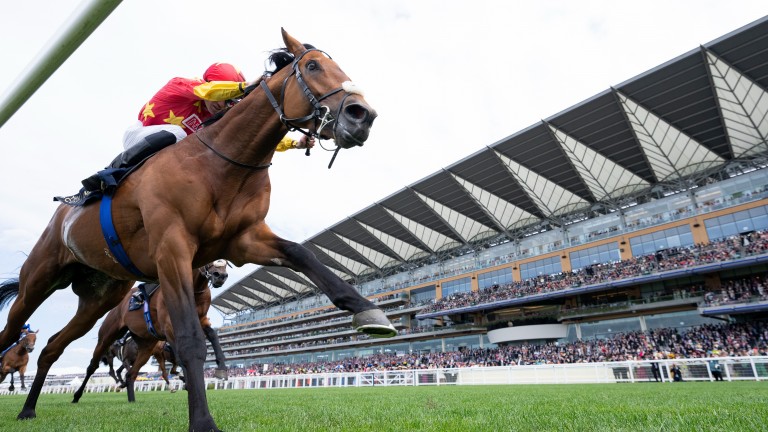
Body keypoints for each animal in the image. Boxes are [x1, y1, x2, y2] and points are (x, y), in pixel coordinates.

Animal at [73, 260, 230, 404]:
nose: (220, 275)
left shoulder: (201, 319)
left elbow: (213, 335)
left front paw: (221, 367)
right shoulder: (169, 326)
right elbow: (182, 357)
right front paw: (189, 383)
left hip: (146, 347)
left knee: (131, 374)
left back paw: (131, 399)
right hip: (107, 335)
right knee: (93, 367)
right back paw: (77, 395)